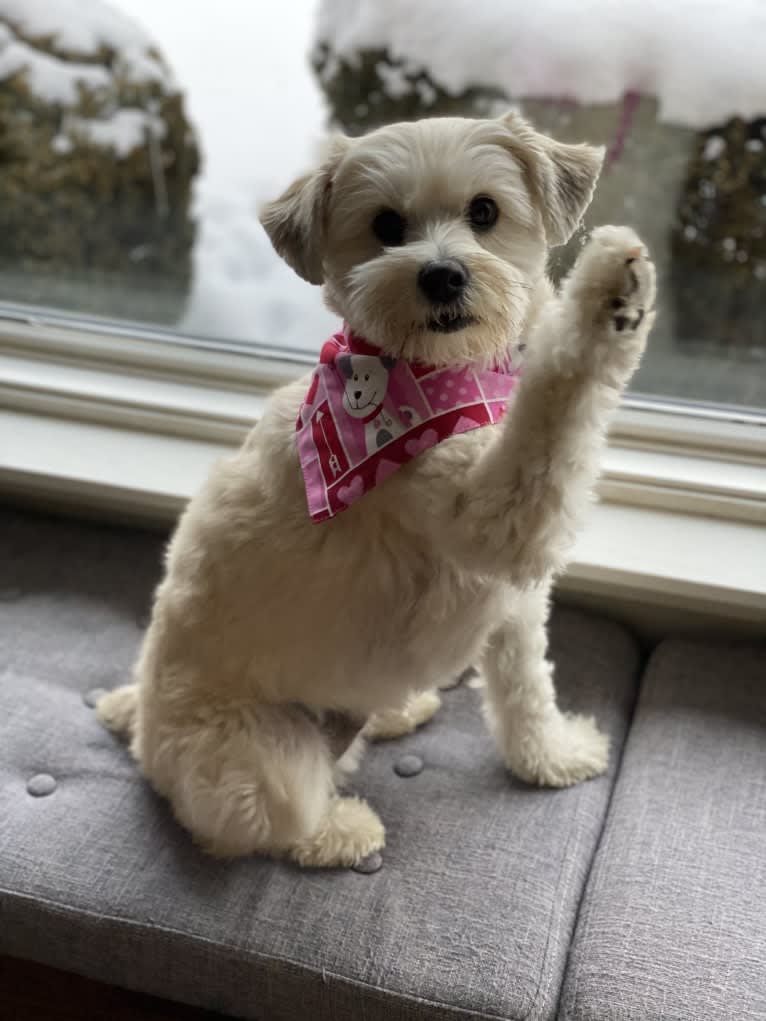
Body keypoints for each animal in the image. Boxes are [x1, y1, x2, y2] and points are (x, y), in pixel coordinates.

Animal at [99, 111, 657, 865]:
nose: (442, 275)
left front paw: (553, 757)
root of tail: (141, 722)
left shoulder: (512, 611)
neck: (442, 372)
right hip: (263, 757)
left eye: (485, 211)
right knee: (249, 826)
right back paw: (339, 831)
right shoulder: (491, 512)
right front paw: (605, 298)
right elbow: (557, 397)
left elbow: (525, 694)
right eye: (386, 225)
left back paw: (400, 710)